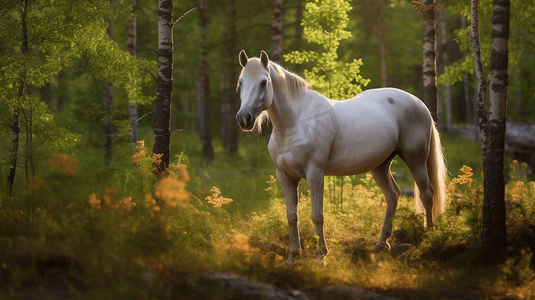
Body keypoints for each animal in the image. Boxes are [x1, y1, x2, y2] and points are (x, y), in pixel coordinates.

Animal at [237, 49, 446, 262]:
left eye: (264, 82)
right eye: (241, 82)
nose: (244, 118)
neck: (295, 123)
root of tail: (419, 103)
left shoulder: (315, 173)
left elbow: (317, 216)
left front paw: (321, 255)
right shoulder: (285, 177)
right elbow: (291, 216)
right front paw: (293, 256)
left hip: (416, 160)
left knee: (427, 194)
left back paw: (429, 236)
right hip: (380, 166)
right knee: (393, 195)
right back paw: (381, 244)